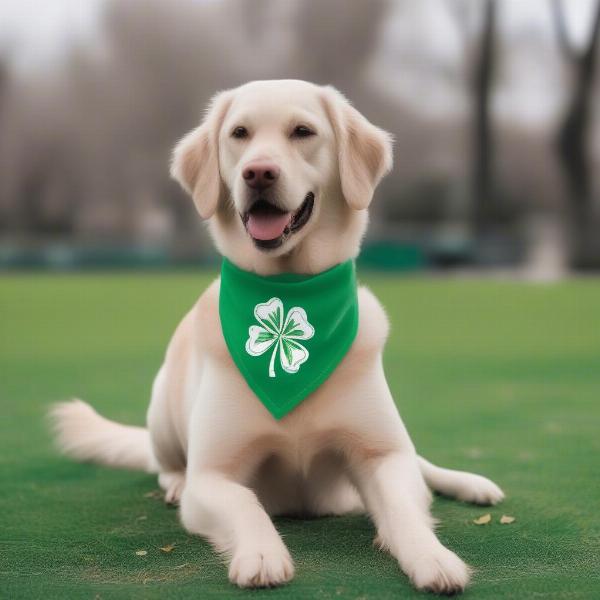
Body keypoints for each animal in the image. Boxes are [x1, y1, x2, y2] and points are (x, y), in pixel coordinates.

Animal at [51, 79, 504, 596]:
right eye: (239, 134)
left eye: (302, 131)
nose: (258, 173)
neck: (290, 290)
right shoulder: (215, 475)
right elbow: (246, 506)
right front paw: (262, 555)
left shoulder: (382, 455)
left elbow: (406, 510)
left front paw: (434, 558)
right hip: (162, 408)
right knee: (166, 463)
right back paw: (174, 483)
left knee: (421, 465)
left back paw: (469, 483)